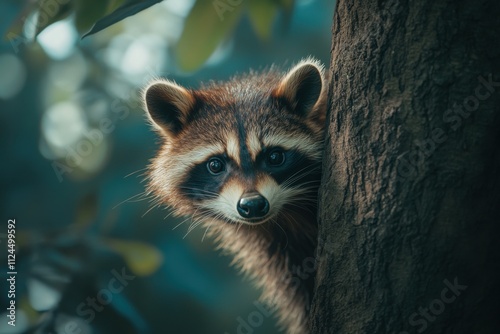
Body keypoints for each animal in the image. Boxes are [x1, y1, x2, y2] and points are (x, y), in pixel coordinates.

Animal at [143, 58, 326, 332]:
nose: (253, 205)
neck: (285, 217)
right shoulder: (273, 248)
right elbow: (296, 291)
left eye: (275, 157)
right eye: (215, 165)